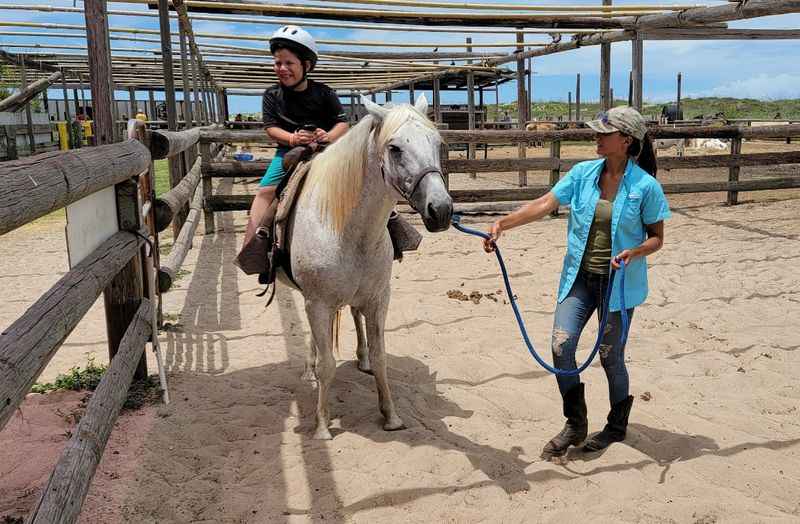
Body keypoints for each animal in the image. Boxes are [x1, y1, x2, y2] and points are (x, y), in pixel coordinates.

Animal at [280, 93, 454, 438]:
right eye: (395, 148)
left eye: (437, 142)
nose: (440, 210)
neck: (345, 229)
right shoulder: (318, 302)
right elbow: (327, 365)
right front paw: (322, 425)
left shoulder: (378, 298)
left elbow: (380, 355)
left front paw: (391, 416)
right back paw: (309, 369)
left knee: (353, 315)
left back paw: (360, 361)